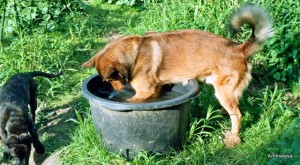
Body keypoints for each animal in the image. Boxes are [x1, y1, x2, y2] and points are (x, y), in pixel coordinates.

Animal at [81, 4, 272, 147]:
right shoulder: (156, 90)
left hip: (224, 91)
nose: (119, 92)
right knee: (232, 109)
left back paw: (232, 138)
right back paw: (222, 115)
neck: (133, 55)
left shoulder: (143, 93)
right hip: (222, 91)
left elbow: (131, 102)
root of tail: (239, 48)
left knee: (237, 115)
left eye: (109, 79)